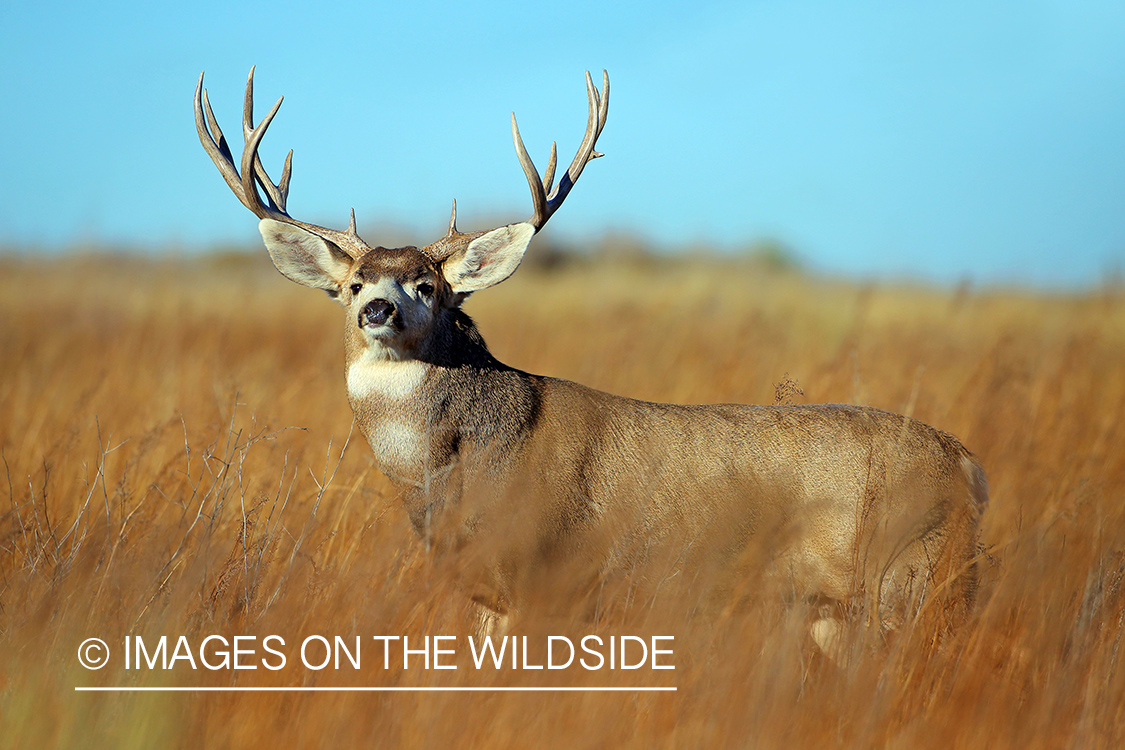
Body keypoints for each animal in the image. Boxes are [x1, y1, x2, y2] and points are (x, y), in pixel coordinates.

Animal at [195, 68, 988, 656]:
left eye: (428, 285)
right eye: (355, 283)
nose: (379, 311)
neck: (459, 470)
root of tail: (968, 466)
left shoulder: (549, 577)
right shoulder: (488, 595)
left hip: (909, 579)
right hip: (842, 606)